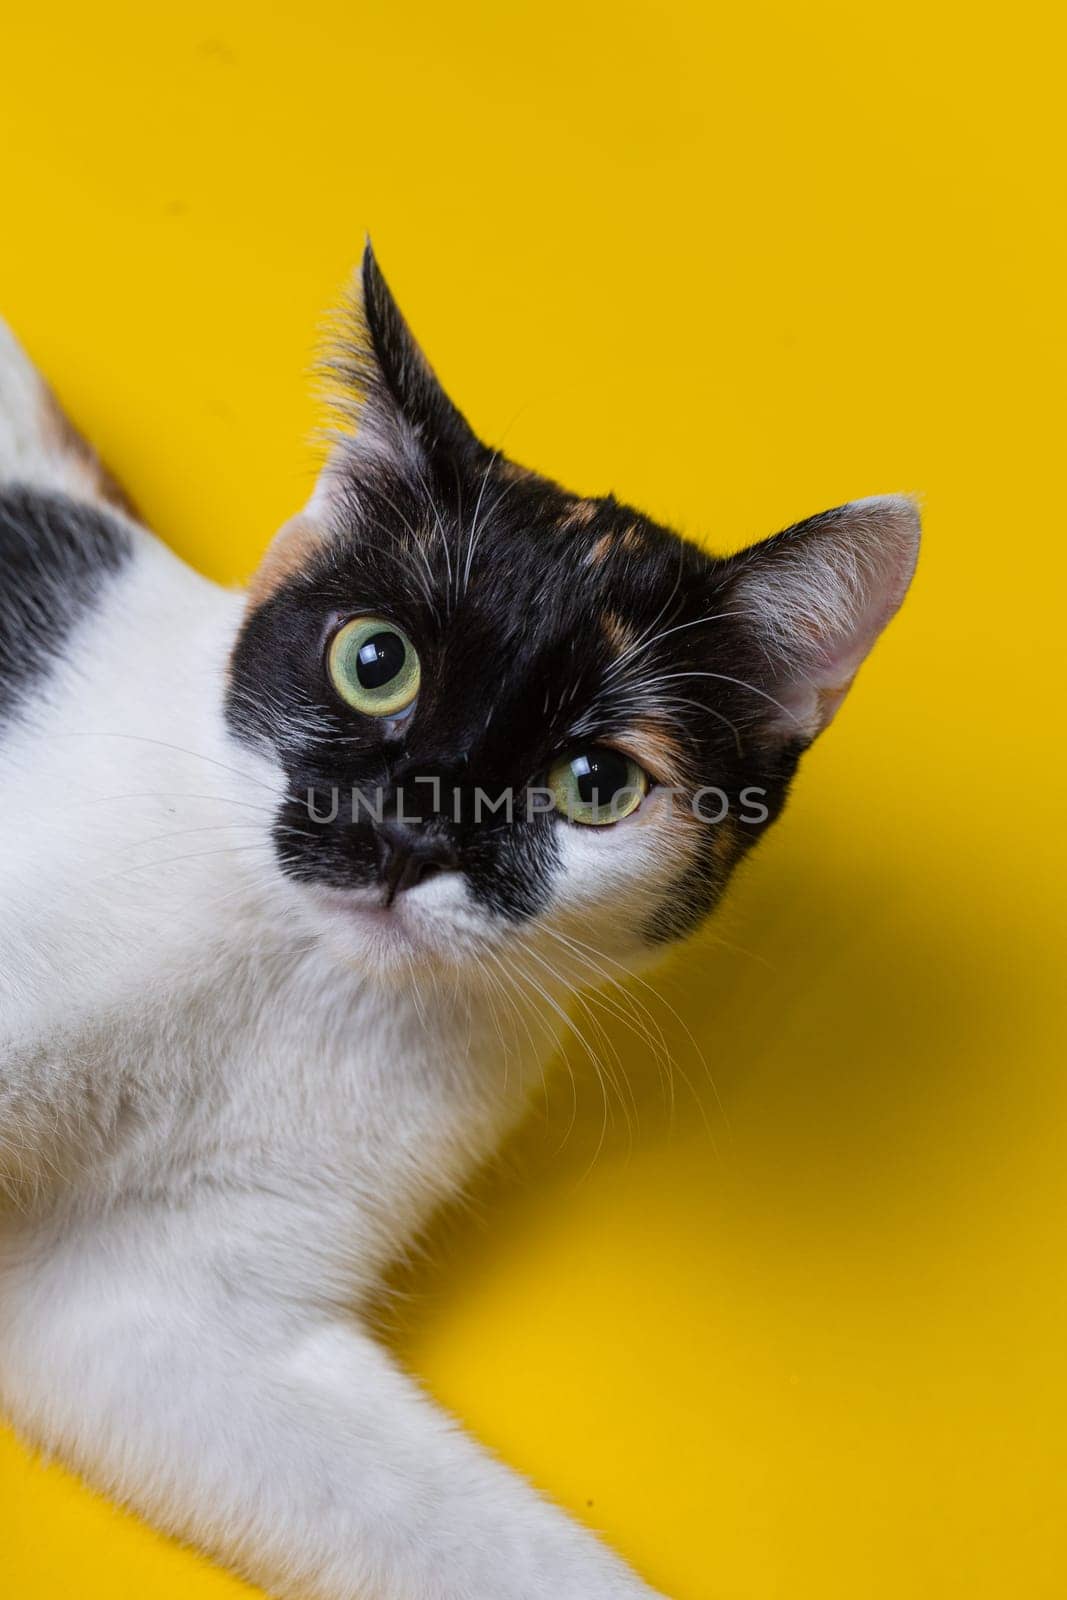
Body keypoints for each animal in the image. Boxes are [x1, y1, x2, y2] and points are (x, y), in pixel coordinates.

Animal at [0, 246, 921, 1600]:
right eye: (373, 660)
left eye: (594, 782)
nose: (409, 831)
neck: (295, 978)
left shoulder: (162, 1308)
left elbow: (474, 1536)